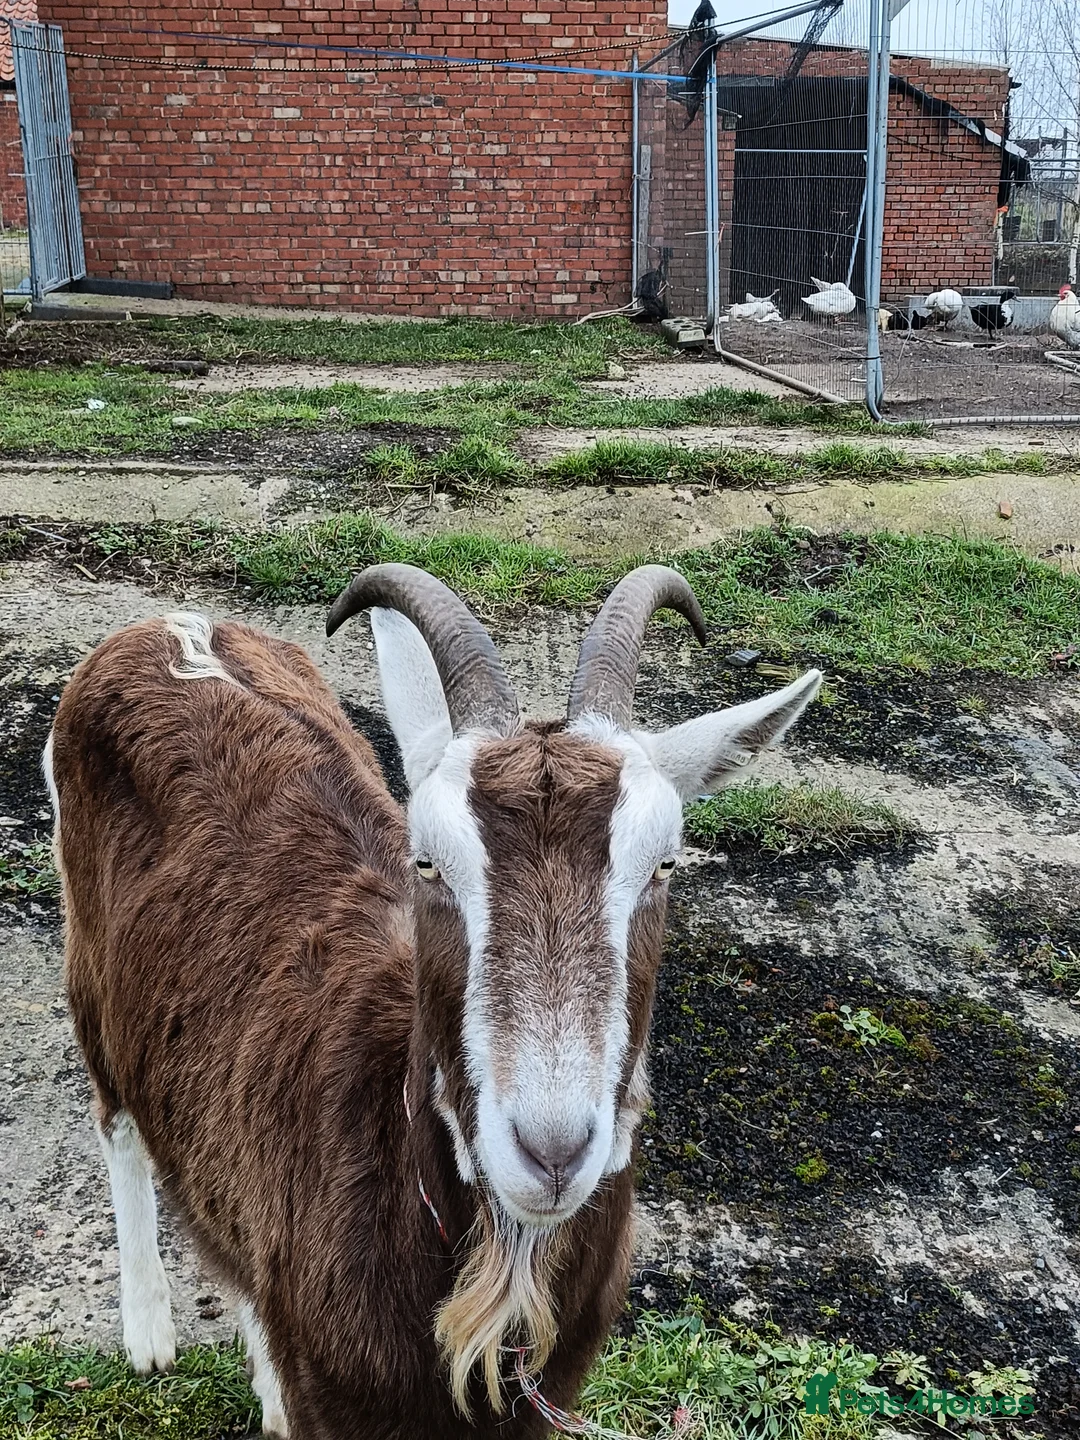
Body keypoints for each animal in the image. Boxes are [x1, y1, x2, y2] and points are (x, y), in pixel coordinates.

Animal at [46, 563, 821, 1439]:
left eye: (666, 862)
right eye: (425, 861)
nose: (551, 1154)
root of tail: (170, 628)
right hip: (89, 963)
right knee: (117, 1119)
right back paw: (148, 1331)